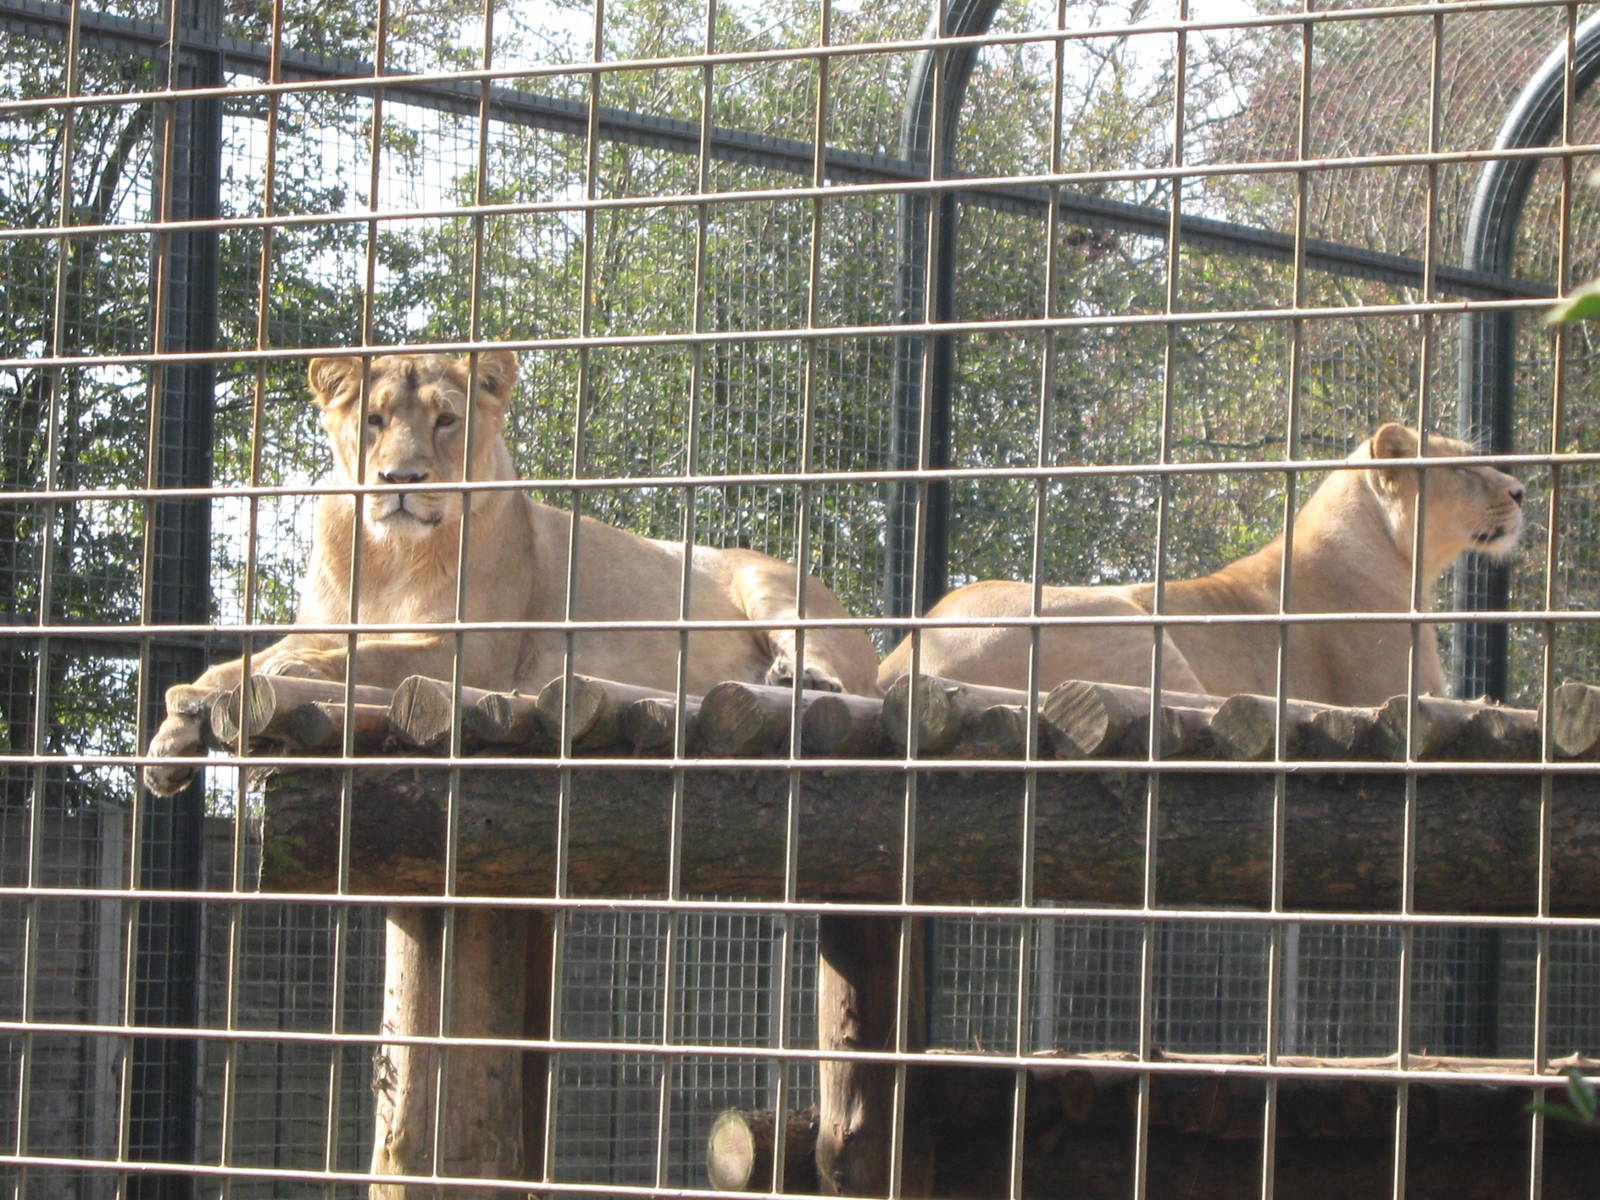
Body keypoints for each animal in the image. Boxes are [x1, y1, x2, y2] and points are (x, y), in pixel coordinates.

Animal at [144, 350, 879, 794]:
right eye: (374, 419)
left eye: (446, 420)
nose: (401, 480)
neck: (388, 557)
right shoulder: (325, 623)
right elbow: (235, 664)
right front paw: (173, 736)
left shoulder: (472, 653)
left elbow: (352, 657)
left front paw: (270, 678)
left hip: (768, 580)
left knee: (817, 658)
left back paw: (798, 678)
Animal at [878, 423, 1526, 706]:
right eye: (1463, 469)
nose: (1521, 490)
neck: (1402, 559)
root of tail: (899, 661)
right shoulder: (1392, 687)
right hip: (1129, 624)